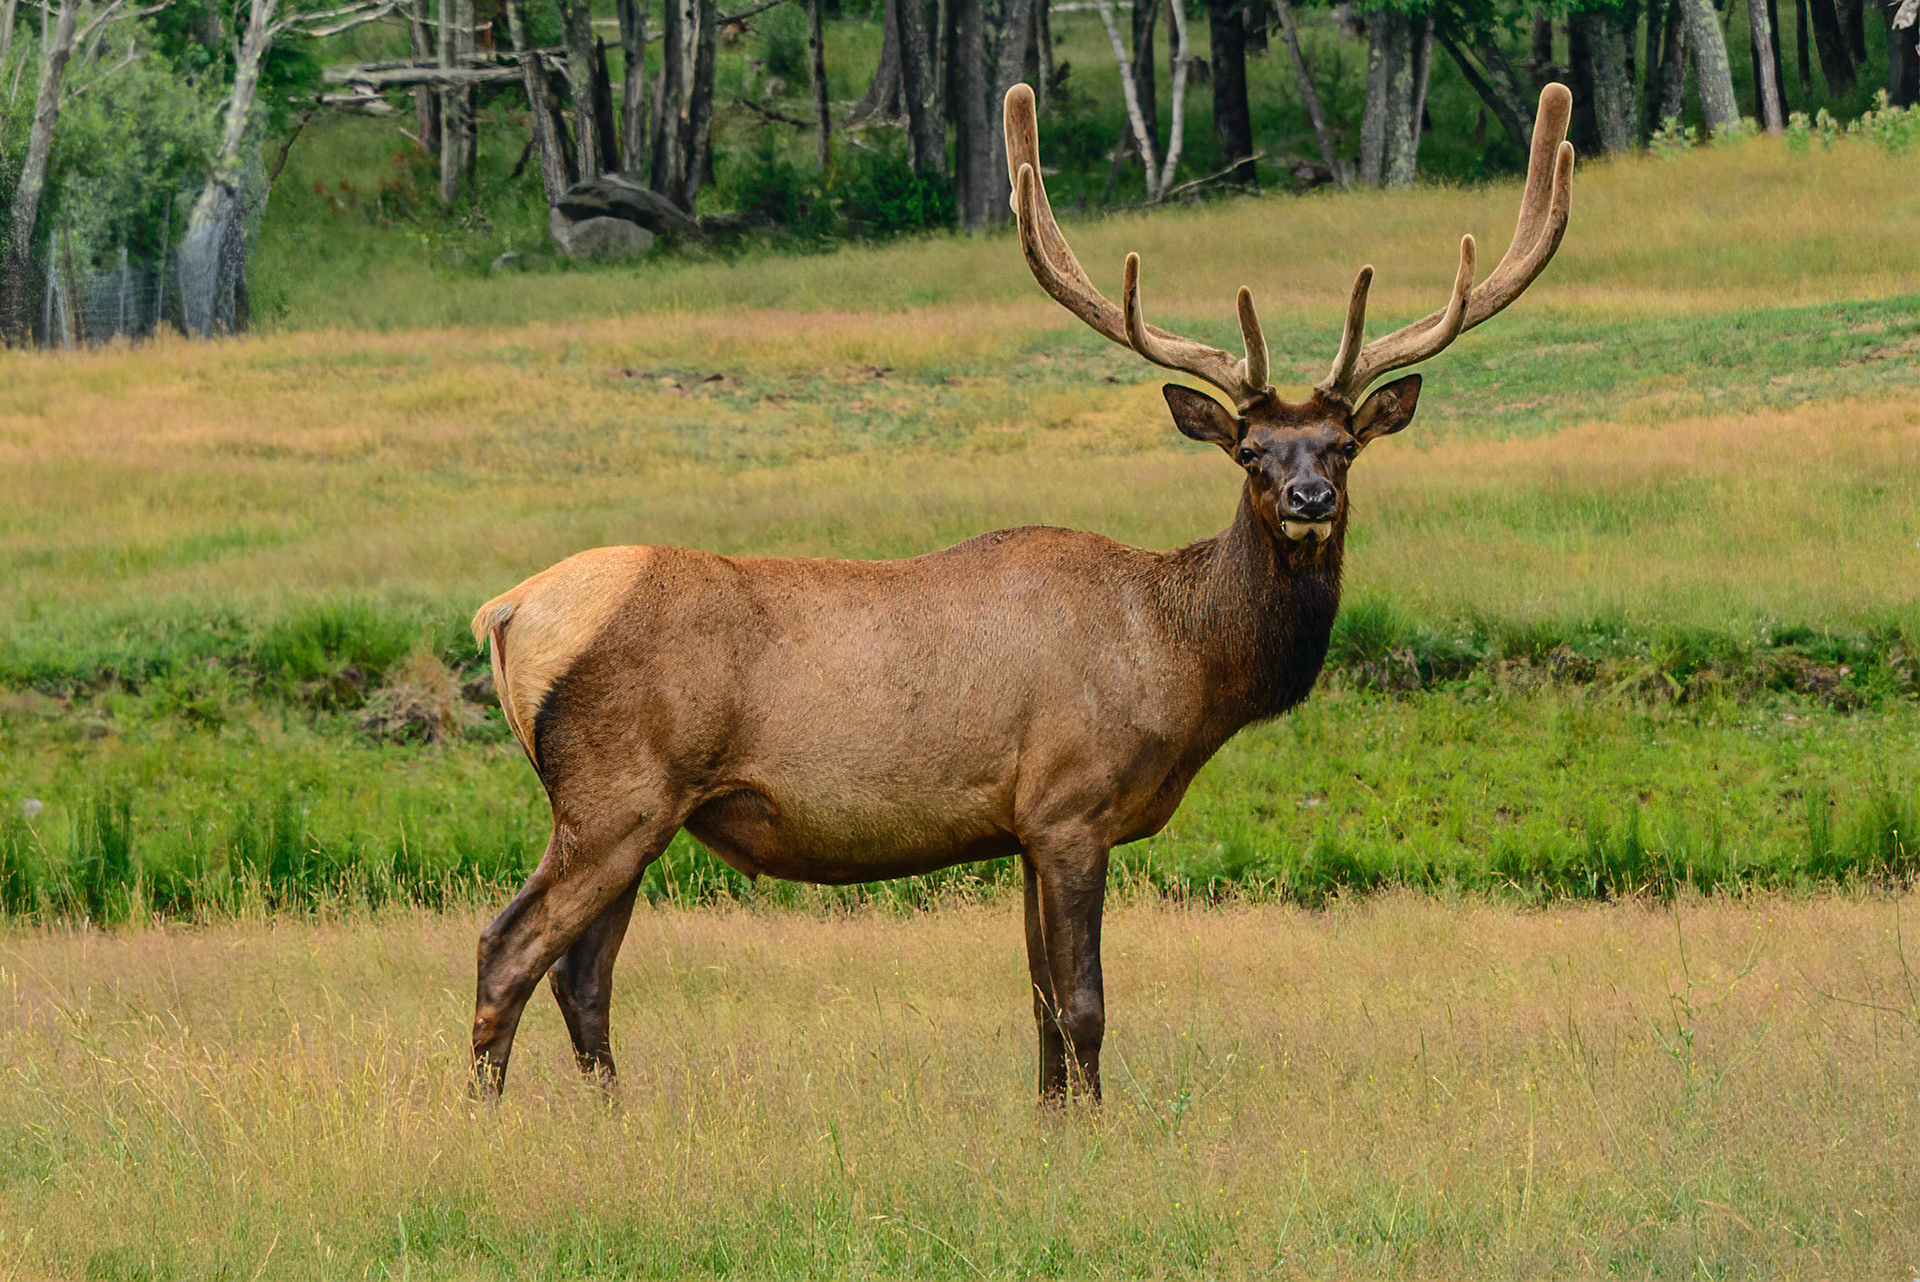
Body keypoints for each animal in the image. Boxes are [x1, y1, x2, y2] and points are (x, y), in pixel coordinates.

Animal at [466, 82, 1575, 1103]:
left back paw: (610, 1117)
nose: (1309, 500)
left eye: (1344, 445)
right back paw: (489, 1117)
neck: (1184, 664)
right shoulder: (1071, 804)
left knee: (583, 975)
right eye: (1251, 450)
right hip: (614, 790)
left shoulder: (1022, 830)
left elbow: (1040, 1004)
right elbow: (1083, 1004)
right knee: (508, 946)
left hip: (637, 810)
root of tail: (508, 611)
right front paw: (1093, 1133)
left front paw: (1052, 1126)